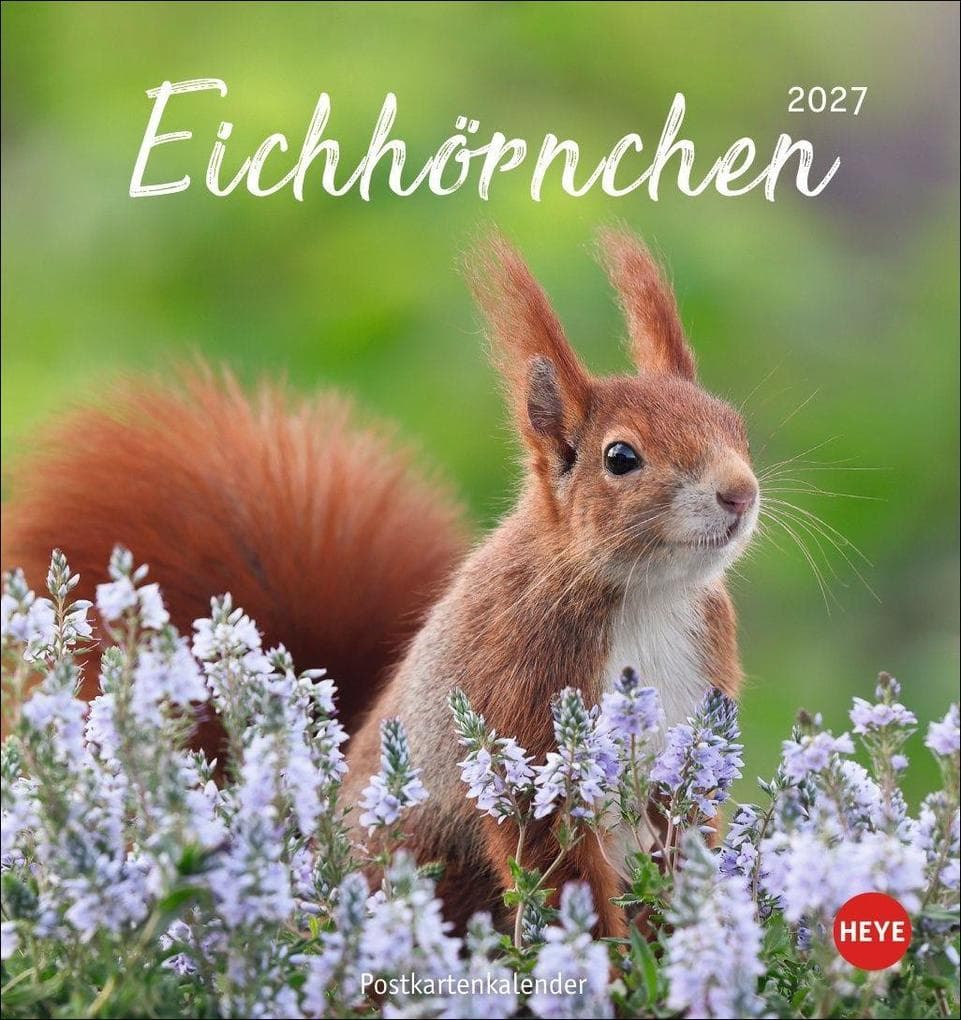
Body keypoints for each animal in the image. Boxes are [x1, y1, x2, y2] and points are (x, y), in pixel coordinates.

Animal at [1, 229, 759, 937]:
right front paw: (611, 961)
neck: (646, 595)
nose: (740, 492)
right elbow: (555, 859)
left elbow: (681, 828)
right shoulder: (520, 695)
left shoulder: (693, 715)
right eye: (621, 457)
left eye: (736, 425)